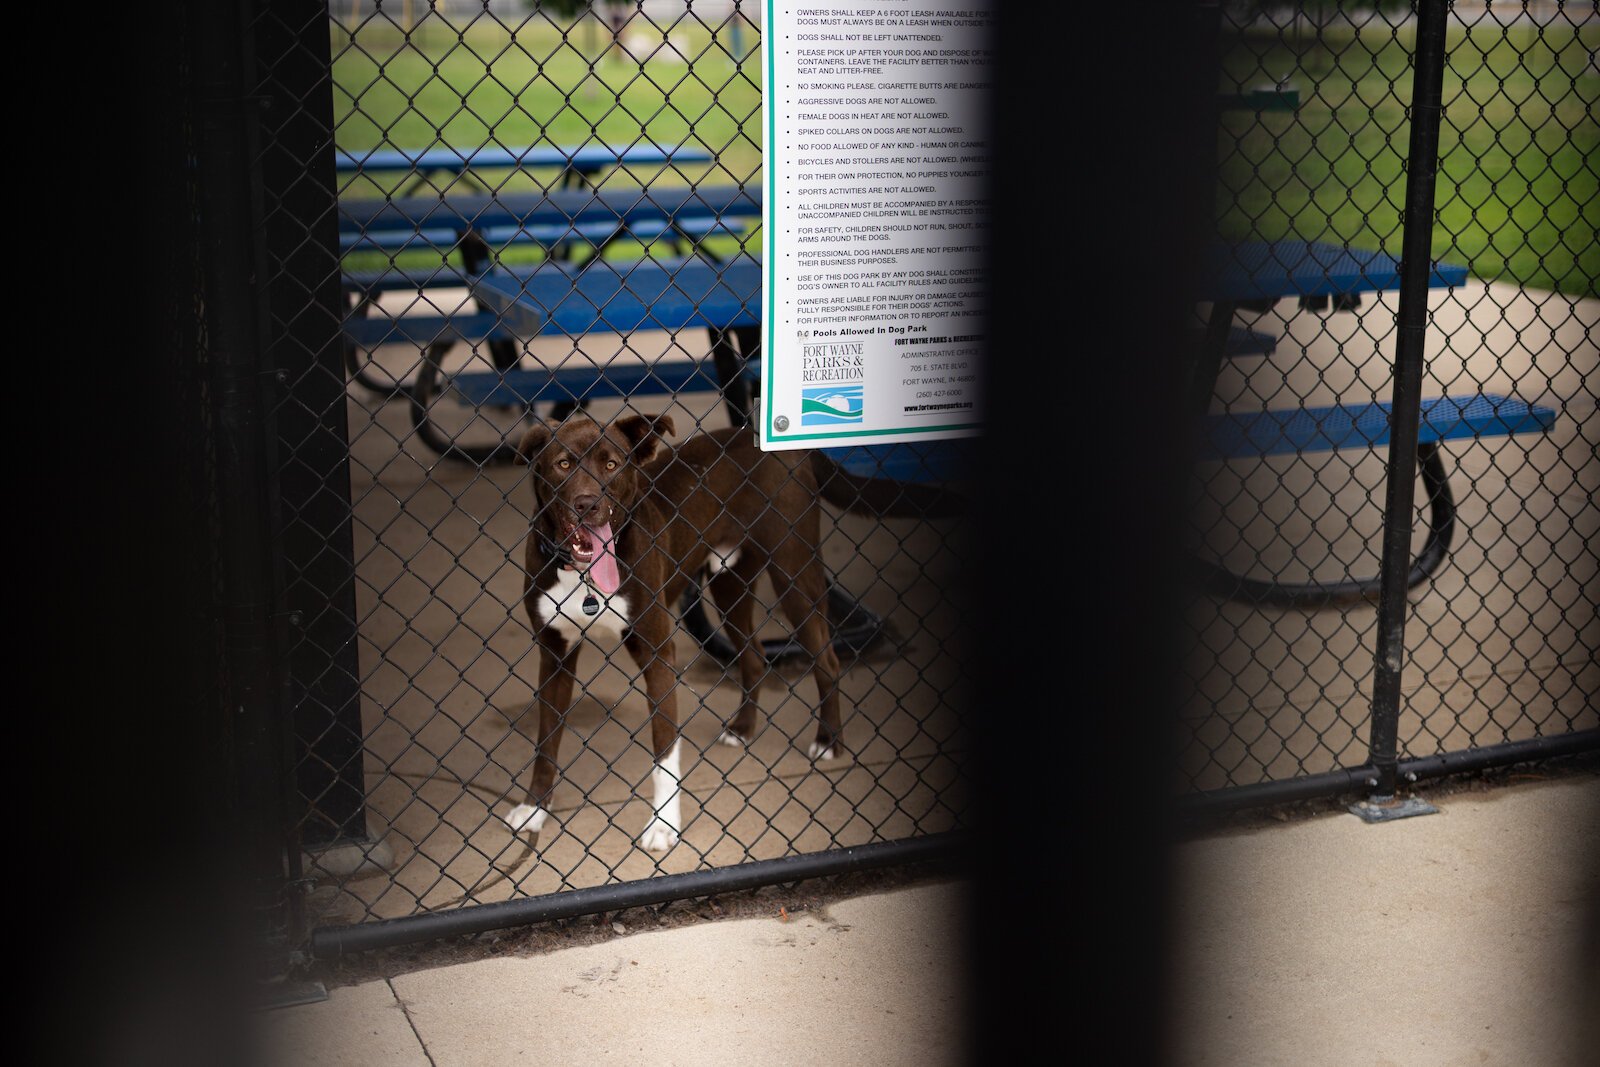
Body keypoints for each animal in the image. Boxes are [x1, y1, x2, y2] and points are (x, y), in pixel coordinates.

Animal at [505, 412, 844, 857]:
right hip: (729, 585)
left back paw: (829, 740)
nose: (588, 505)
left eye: (612, 464)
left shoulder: (657, 655)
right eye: (563, 464)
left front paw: (663, 825)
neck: (584, 576)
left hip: (794, 575)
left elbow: (664, 754)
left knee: (828, 660)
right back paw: (742, 727)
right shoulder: (554, 656)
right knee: (753, 655)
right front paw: (534, 808)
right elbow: (546, 742)